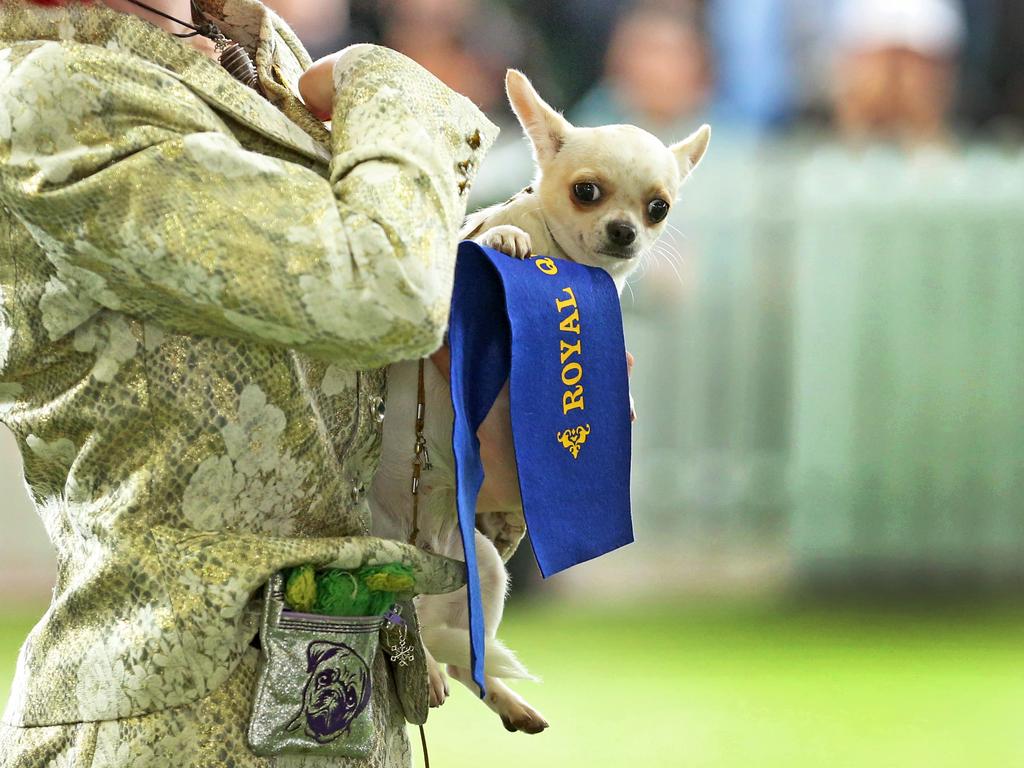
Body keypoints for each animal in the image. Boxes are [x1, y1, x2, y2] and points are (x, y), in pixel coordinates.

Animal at [368, 69, 712, 737]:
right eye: (587, 191)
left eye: (658, 207)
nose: (626, 232)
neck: (565, 262)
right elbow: (484, 238)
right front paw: (506, 235)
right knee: (416, 632)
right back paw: (429, 672)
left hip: (485, 570)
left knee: (462, 657)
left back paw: (505, 701)